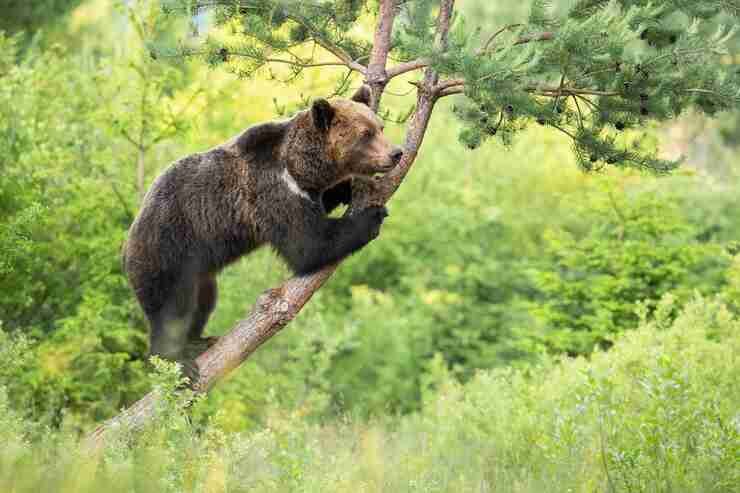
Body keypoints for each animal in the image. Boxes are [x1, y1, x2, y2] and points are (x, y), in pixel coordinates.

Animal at [123, 86, 398, 378]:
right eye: (365, 134)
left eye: (380, 127)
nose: (397, 153)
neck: (298, 167)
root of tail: (127, 245)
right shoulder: (270, 192)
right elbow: (308, 245)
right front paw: (372, 216)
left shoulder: (305, 189)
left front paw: (348, 187)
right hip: (168, 250)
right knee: (172, 310)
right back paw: (178, 362)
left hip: (199, 270)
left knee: (203, 301)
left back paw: (197, 342)